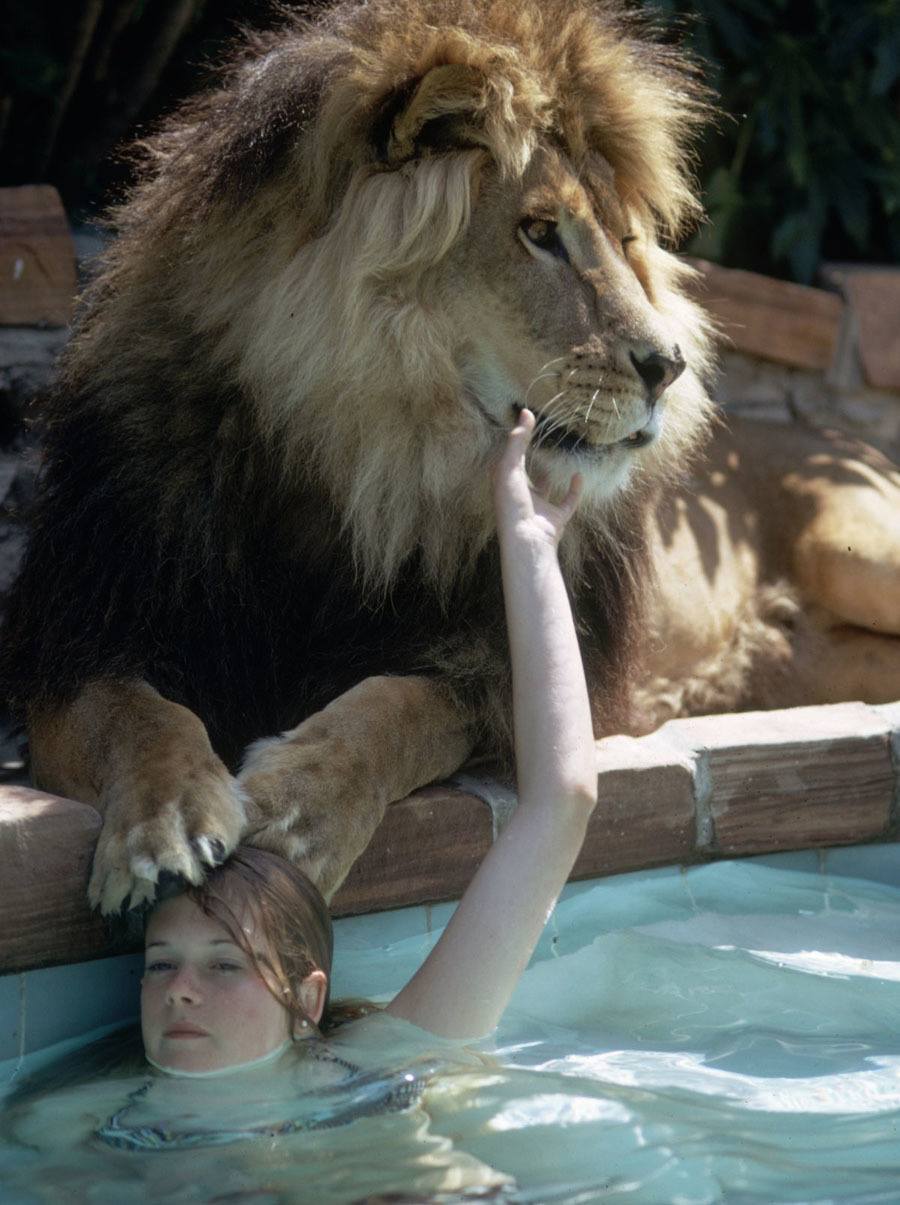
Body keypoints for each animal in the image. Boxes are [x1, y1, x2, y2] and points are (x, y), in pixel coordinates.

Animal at [2, 0, 898, 914]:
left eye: (625, 241)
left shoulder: (498, 670)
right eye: (539, 232)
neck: (354, 462)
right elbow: (133, 713)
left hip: (860, 549)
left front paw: (298, 804)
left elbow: (398, 707)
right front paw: (166, 824)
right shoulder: (84, 632)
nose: (670, 365)